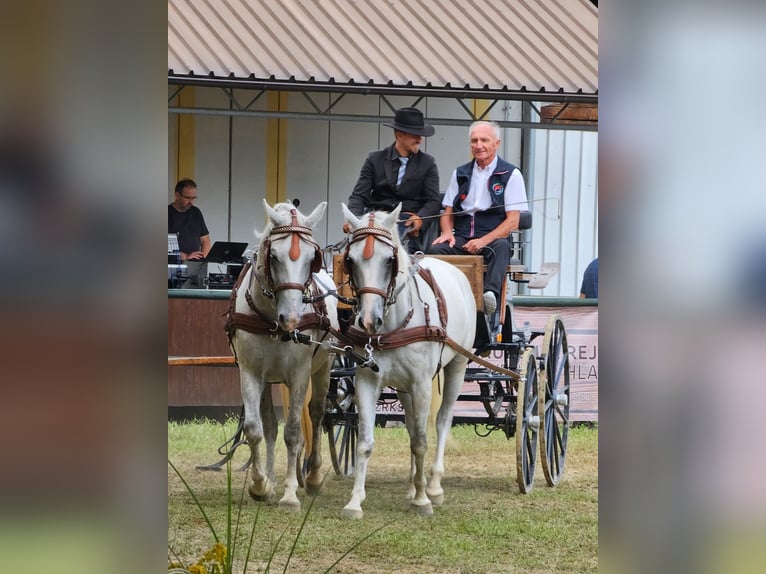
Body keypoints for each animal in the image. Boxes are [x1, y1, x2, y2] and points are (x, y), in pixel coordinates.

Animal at [225, 199, 340, 512]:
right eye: (273, 256)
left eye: (312, 258)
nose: (291, 319)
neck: (271, 320)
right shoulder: (250, 373)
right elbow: (256, 429)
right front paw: (260, 485)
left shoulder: (298, 375)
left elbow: (294, 432)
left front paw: (290, 495)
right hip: (268, 380)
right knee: (269, 426)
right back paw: (270, 480)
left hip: (323, 369)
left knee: (316, 413)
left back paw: (311, 478)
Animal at [340, 204, 476, 520]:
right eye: (350, 260)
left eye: (389, 260)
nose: (368, 321)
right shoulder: (367, 380)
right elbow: (366, 443)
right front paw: (354, 501)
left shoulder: (422, 384)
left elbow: (421, 441)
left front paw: (423, 500)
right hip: (404, 388)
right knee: (414, 425)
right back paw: (414, 485)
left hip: (457, 365)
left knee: (441, 421)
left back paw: (433, 486)